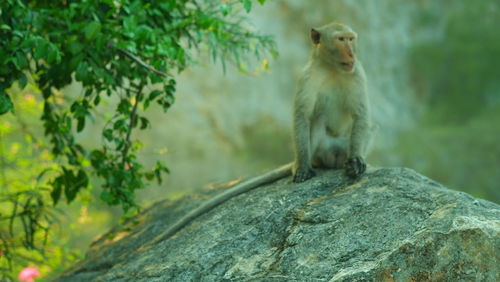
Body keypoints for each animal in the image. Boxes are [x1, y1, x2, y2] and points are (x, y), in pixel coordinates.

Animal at [150, 22, 374, 243]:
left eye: (351, 39)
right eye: (341, 39)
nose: (352, 53)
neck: (331, 68)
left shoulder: (358, 72)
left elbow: (361, 115)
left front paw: (356, 161)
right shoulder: (307, 76)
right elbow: (302, 116)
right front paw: (302, 167)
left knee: (365, 126)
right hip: (321, 150)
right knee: (319, 117)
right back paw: (308, 161)